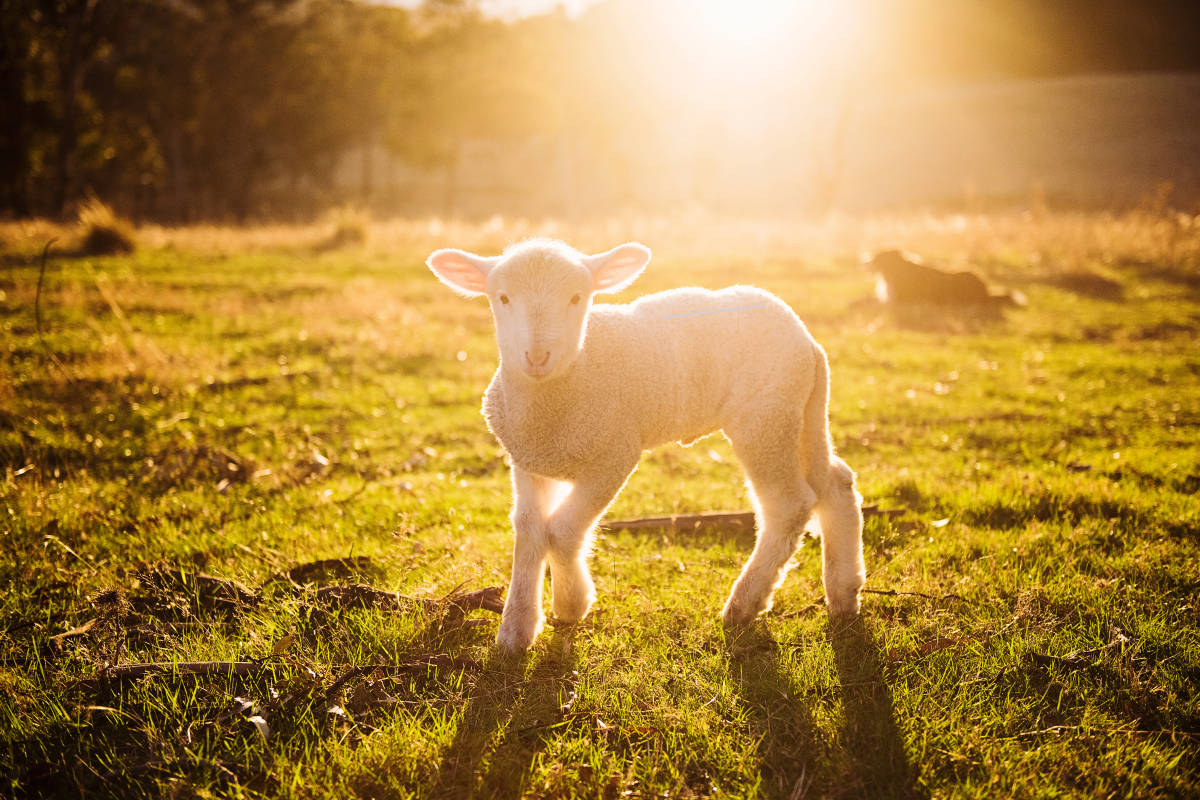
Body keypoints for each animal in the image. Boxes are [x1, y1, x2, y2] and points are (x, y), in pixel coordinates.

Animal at [426, 238, 866, 651]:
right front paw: (517, 629)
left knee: (788, 505)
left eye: (576, 297)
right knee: (835, 483)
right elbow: (530, 529)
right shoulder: (528, 460)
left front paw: (571, 604)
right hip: (802, 412)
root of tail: (807, 339)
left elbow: (562, 531)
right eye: (502, 298)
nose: (536, 356)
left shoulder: (614, 455)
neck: (561, 390)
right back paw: (844, 593)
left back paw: (744, 604)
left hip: (765, 418)